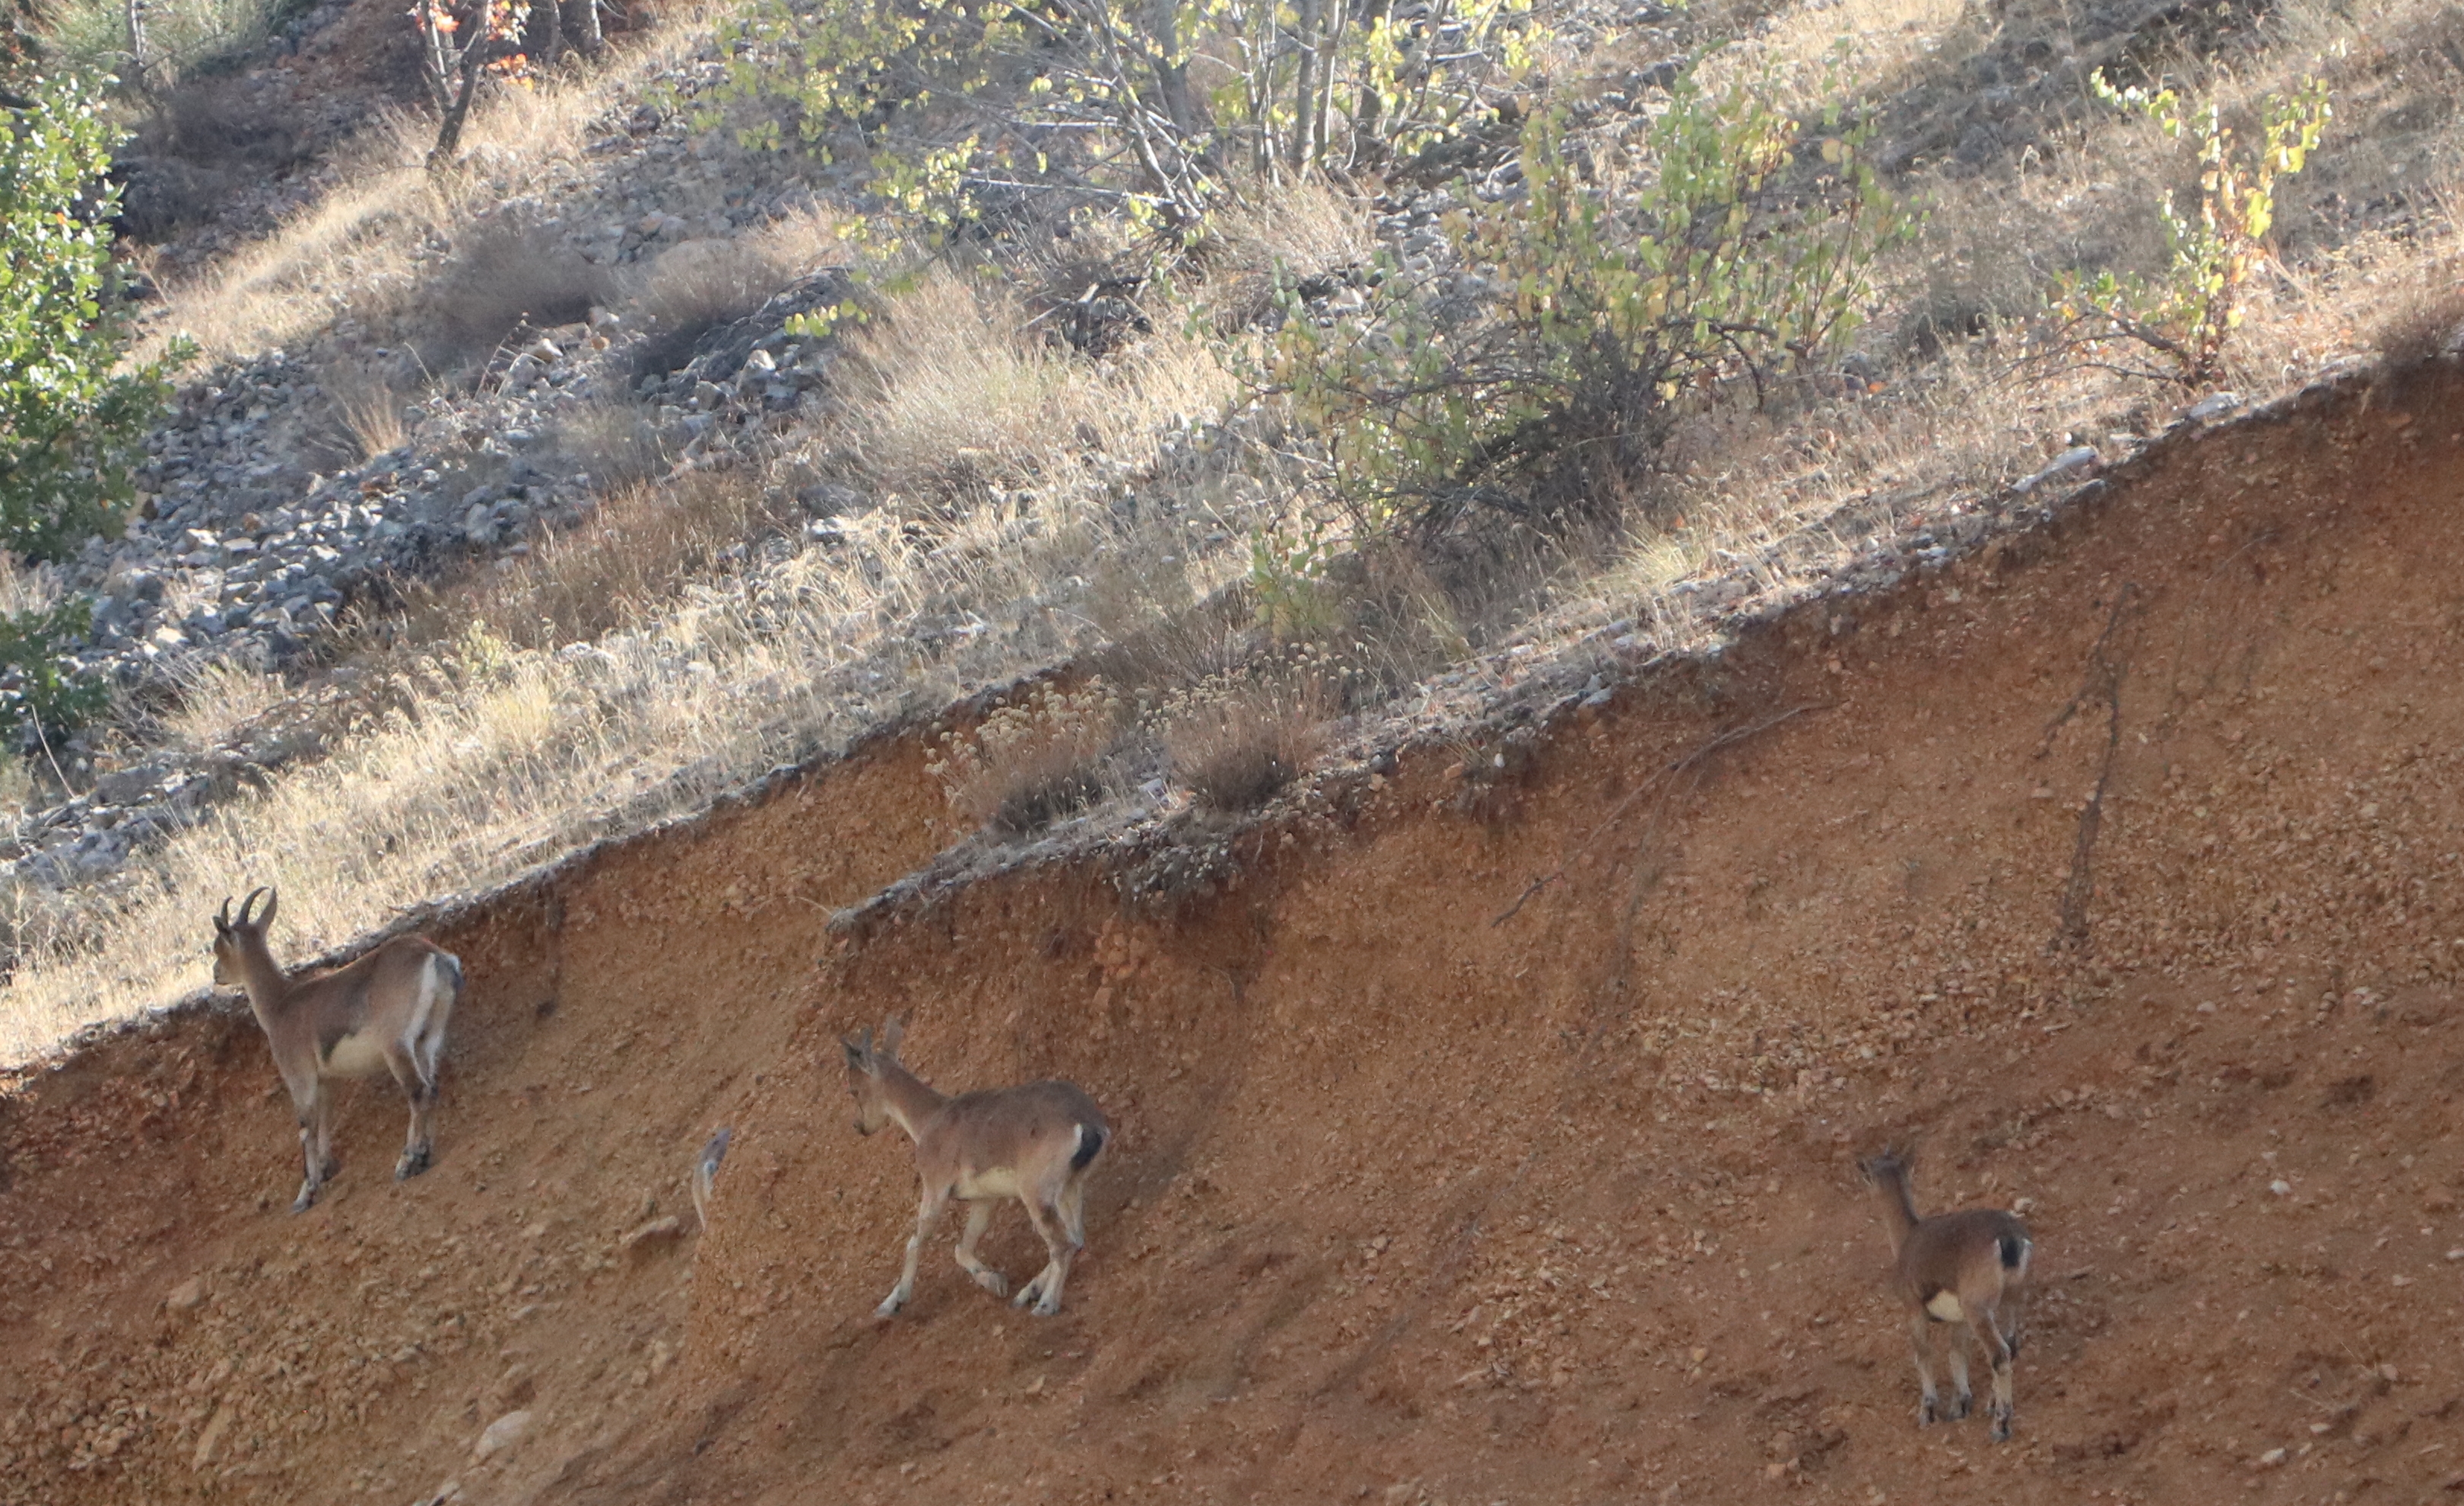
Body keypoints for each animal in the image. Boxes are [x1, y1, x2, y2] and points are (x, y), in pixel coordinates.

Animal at [211, 887, 463, 1217]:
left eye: (218, 946)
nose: (216, 973)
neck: (281, 1004)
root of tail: (433, 955)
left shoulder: (300, 1076)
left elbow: (306, 1127)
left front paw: (305, 1194)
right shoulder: (325, 1079)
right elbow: (325, 1119)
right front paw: (326, 1168)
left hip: (396, 1045)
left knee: (418, 1091)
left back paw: (407, 1162)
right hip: (428, 1038)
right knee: (431, 1087)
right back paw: (423, 1156)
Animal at [847, 1015, 1118, 1320]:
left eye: (854, 1090)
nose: (860, 1126)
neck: (929, 1119)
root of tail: (1088, 1126)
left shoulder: (935, 1186)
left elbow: (916, 1241)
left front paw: (891, 1303)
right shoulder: (984, 1199)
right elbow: (962, 1248)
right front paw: (996, 1282)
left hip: (1036, 1191)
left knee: (1062, 1244)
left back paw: (1045, 1304)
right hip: (1069, 1187)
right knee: (1076, 1238)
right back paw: (1028, 1293)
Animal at [1853, 1149, 2030, 1439]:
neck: (1907, 1238)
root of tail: (2008, 1240)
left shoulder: (1913, 1309)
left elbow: (1924, 1355)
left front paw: (1928, 1411)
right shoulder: (1959, 1320)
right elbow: (1957, 1355)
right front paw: (1960, 1406)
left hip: (1978, 1309)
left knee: (2000, 1354)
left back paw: (2001, 1425)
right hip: (2008, 1303)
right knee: (2010, 1345)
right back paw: (1993, 1405)